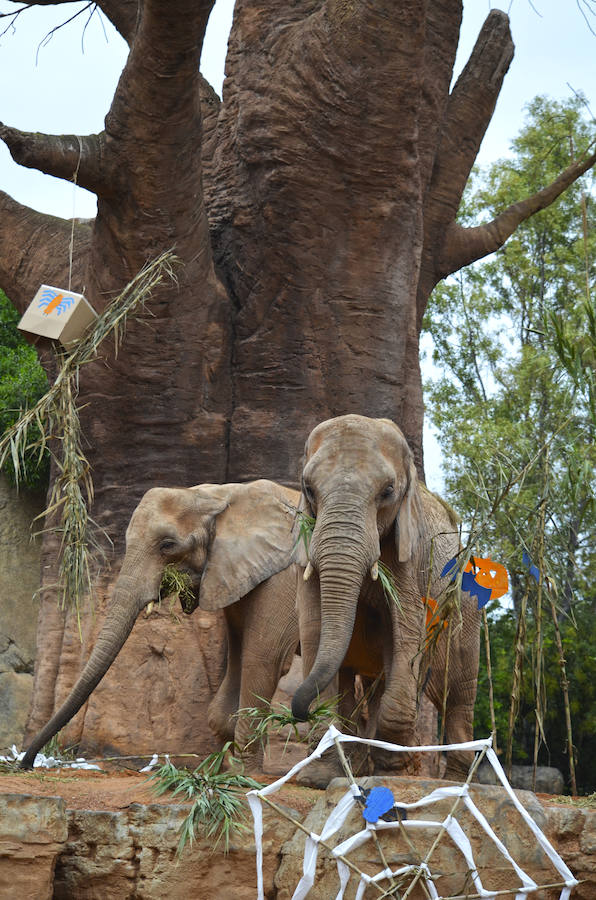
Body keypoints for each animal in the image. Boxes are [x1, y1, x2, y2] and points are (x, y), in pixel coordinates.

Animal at [21, 482, 300, 768]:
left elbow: (265, 658)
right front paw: (224, 769)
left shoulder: (283, 578)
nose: (27, 763)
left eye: (168, 545)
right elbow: (239, 655)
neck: (219, 495)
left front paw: (244, 773)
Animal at [294, 414, 484, 780]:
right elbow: (313, 626)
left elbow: (406, 630)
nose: (298, 709)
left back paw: (452, 779)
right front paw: (320, 777)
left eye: (388, 492)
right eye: (308, 488)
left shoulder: (412, 557)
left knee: (457, 693)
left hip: (465, 609)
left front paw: (392, 770)